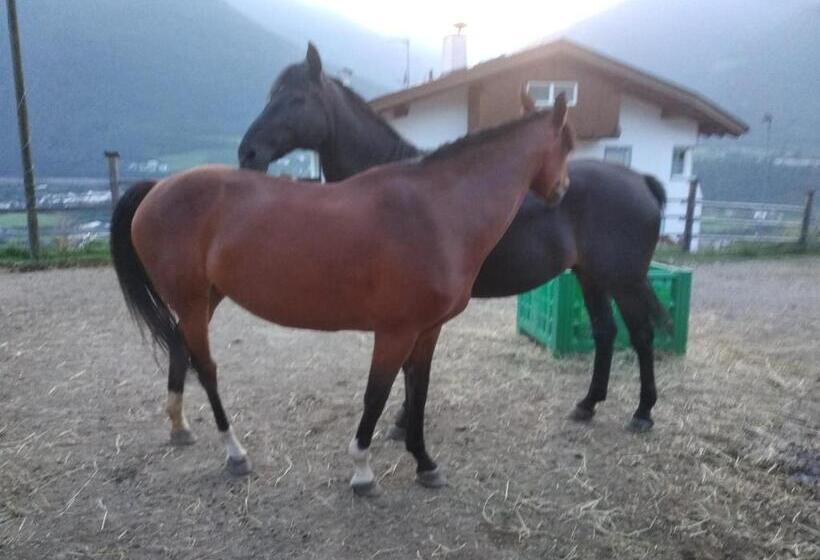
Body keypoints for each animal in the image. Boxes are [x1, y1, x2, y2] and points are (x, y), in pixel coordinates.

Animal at [110, 92, 574, 495]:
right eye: (568, 144)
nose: (563, 189)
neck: (437, 211)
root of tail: (156, 188)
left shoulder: (427, 331)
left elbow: (418, 392)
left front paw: (425, 464)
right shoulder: (395, 332)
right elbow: (377, 394)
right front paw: (363, 470)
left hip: (204, 299)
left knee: (179, 348)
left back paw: (179, 427)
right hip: (192, 301)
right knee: (205, 367)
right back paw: (235, 453)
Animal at [238, 44, 667, 435]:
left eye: (296, 99)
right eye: (271, 96)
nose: (248, 153)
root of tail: (640, 181)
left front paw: (402, 421)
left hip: (624, 281)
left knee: (642, 334)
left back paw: (643, 412)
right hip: (590, 277)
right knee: (605, 333)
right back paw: (588, 404)